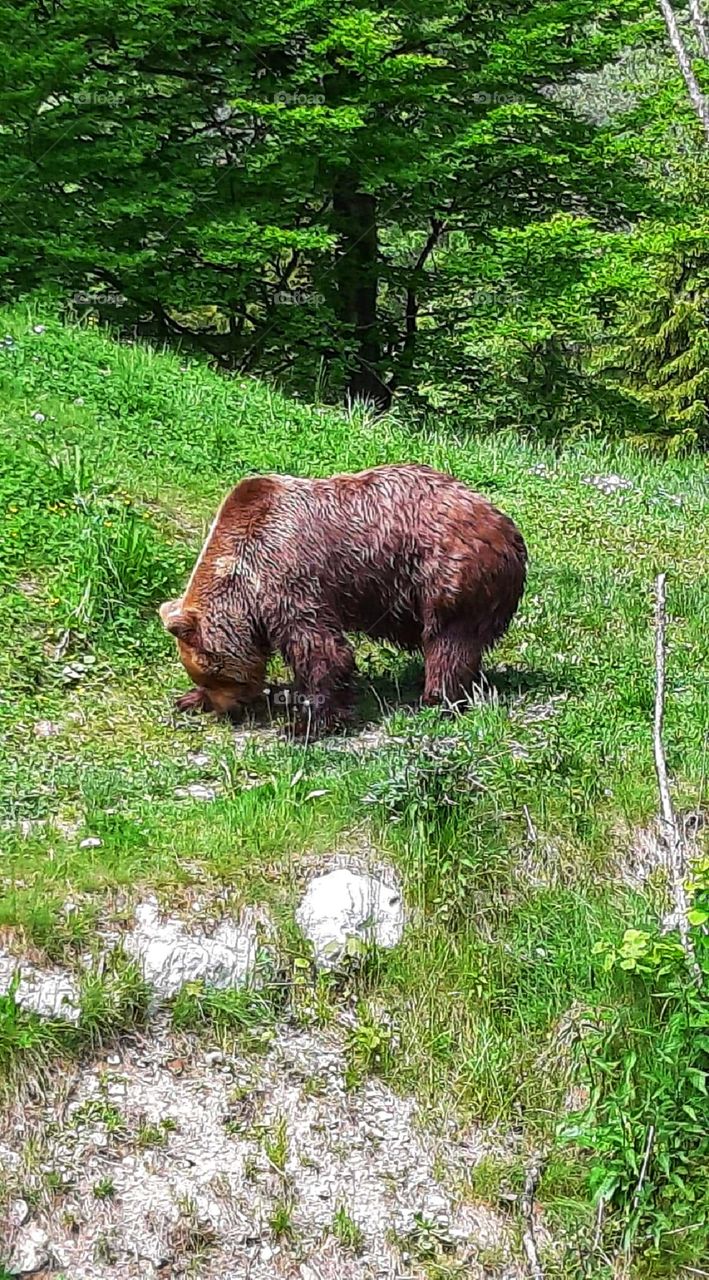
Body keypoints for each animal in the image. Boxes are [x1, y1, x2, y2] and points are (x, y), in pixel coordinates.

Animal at [158, 465, 524, 737]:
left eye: (216, 676)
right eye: (204, 679)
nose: (228, 710)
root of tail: (508, 528)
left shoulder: (287, 574)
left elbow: (320, 649)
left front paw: (304, 725)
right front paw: (188, 700)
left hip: (448, 575)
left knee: (448, 642)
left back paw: (437, 698)